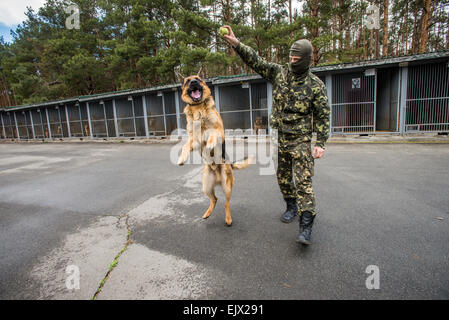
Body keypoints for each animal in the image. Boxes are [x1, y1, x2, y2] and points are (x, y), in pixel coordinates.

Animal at [177, 68, 254, 226]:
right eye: (188, 81)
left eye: (198, 79)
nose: (194, 82)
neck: (198, 107)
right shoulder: (194, 139)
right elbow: (186, 146)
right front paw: (182, 158)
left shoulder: (218, 131)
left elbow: (212, 135)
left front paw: (210, 145)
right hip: (206, 186)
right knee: (215, 199)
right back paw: (207, 213)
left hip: (227, 185)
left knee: (226, 202)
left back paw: (228, 219)